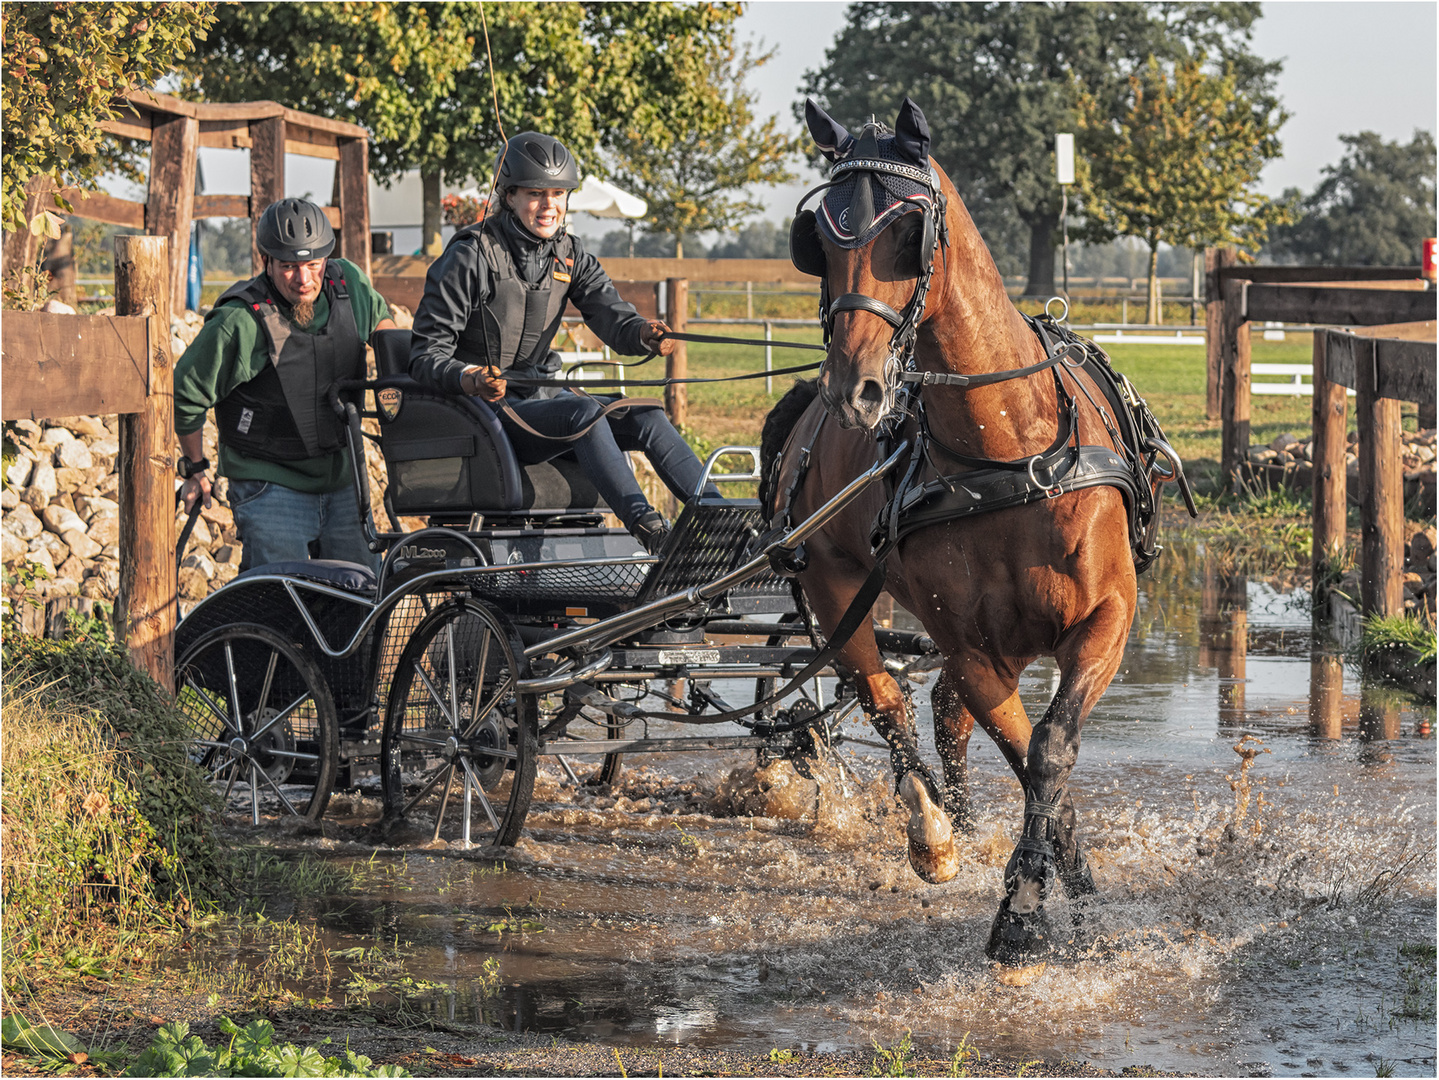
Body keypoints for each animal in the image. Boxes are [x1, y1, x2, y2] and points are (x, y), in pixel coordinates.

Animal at [765, 99, 1191, 960]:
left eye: (907, 231)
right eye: (817, 238)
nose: (855, 389)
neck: (1007, 450)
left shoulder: (1105, 619)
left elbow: (1050, 754)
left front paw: (1048, 909)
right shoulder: (970, 649)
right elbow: (1033, 765)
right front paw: (1029, 913)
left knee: (946, 713)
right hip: (834, 593)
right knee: (886, 699)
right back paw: (933, 834)